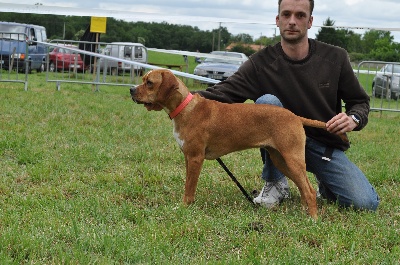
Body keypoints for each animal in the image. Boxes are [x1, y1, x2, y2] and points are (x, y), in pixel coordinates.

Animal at [130, 68, 344, 219]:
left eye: (149, 83)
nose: (131, 90)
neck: (185, 108)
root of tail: (294, 116)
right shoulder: (188, 158)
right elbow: (187, 184)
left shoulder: (196, 158)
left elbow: (189, 189)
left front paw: (184, 207)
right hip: (281, 160)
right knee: (303, 188)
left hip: (292, 159)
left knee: (309, 189)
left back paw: (313, 218)